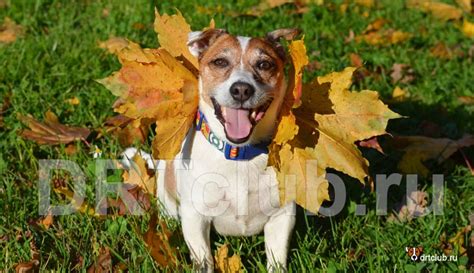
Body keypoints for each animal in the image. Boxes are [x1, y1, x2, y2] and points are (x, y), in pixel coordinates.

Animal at [124, 27, 298, 270]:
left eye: (265, 64)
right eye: (220, 62)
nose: (241, 89)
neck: (239, 155)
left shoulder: (282, 216)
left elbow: (277, 262)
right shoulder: (195, 217)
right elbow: (203, 261)